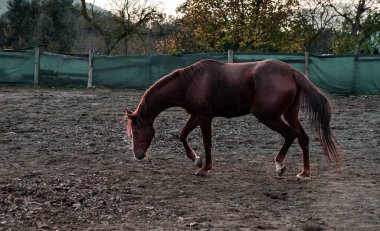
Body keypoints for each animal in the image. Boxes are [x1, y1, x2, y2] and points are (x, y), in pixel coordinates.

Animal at [124, 58, 342, 178]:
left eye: (135, 130)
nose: (138, 155)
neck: (189, 83)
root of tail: (291, 72)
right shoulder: (195, 115)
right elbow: (182, 135)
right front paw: (196, 160)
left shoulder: (205, 116)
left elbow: (207, 141)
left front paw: (204, 168)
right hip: (289, 114)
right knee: (302, 137)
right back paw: (305, 173)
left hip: (269, 116)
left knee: (290, 134)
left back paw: (280, 165)